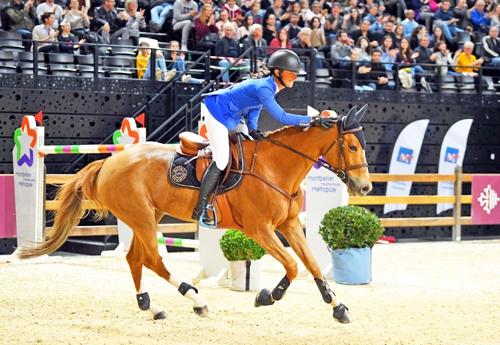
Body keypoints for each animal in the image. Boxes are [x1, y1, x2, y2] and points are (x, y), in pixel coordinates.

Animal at [18, 105, 372, 322]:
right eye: (353, 147)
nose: (365, 187)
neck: (276, 166)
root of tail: (109, 162)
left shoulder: (289, 225)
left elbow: (311, 265)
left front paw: (338, 307)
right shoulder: (259, 229)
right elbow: (293, 266)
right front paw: (268, 296)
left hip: (146, 218)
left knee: (135, 259)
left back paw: (152, 306)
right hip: (142, 218)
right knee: (153, 260)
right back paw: (196, 300)